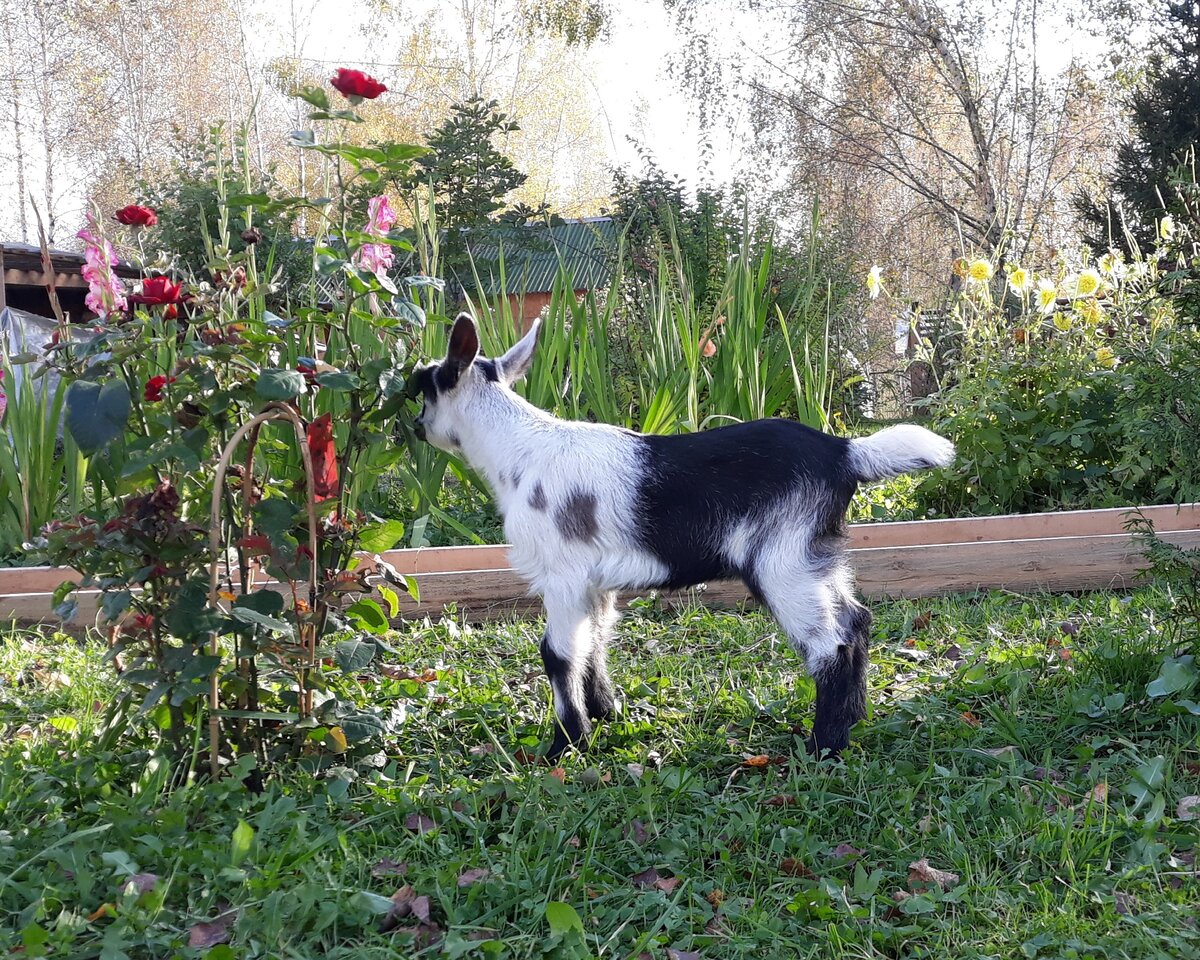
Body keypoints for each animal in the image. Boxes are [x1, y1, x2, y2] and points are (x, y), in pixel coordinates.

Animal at [415, 312, 955, 758]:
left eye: (423, 386)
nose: (415, 427)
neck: (520, 448)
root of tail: (844, 452)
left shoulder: (562, 576)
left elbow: (559, 653)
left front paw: (566, 746)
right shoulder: (595, 584)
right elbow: (595, 641)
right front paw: (606, 714)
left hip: (782, 563)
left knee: (831, 644)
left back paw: (824, 746)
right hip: (817, 555)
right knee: (858, 622)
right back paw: (854, 721)